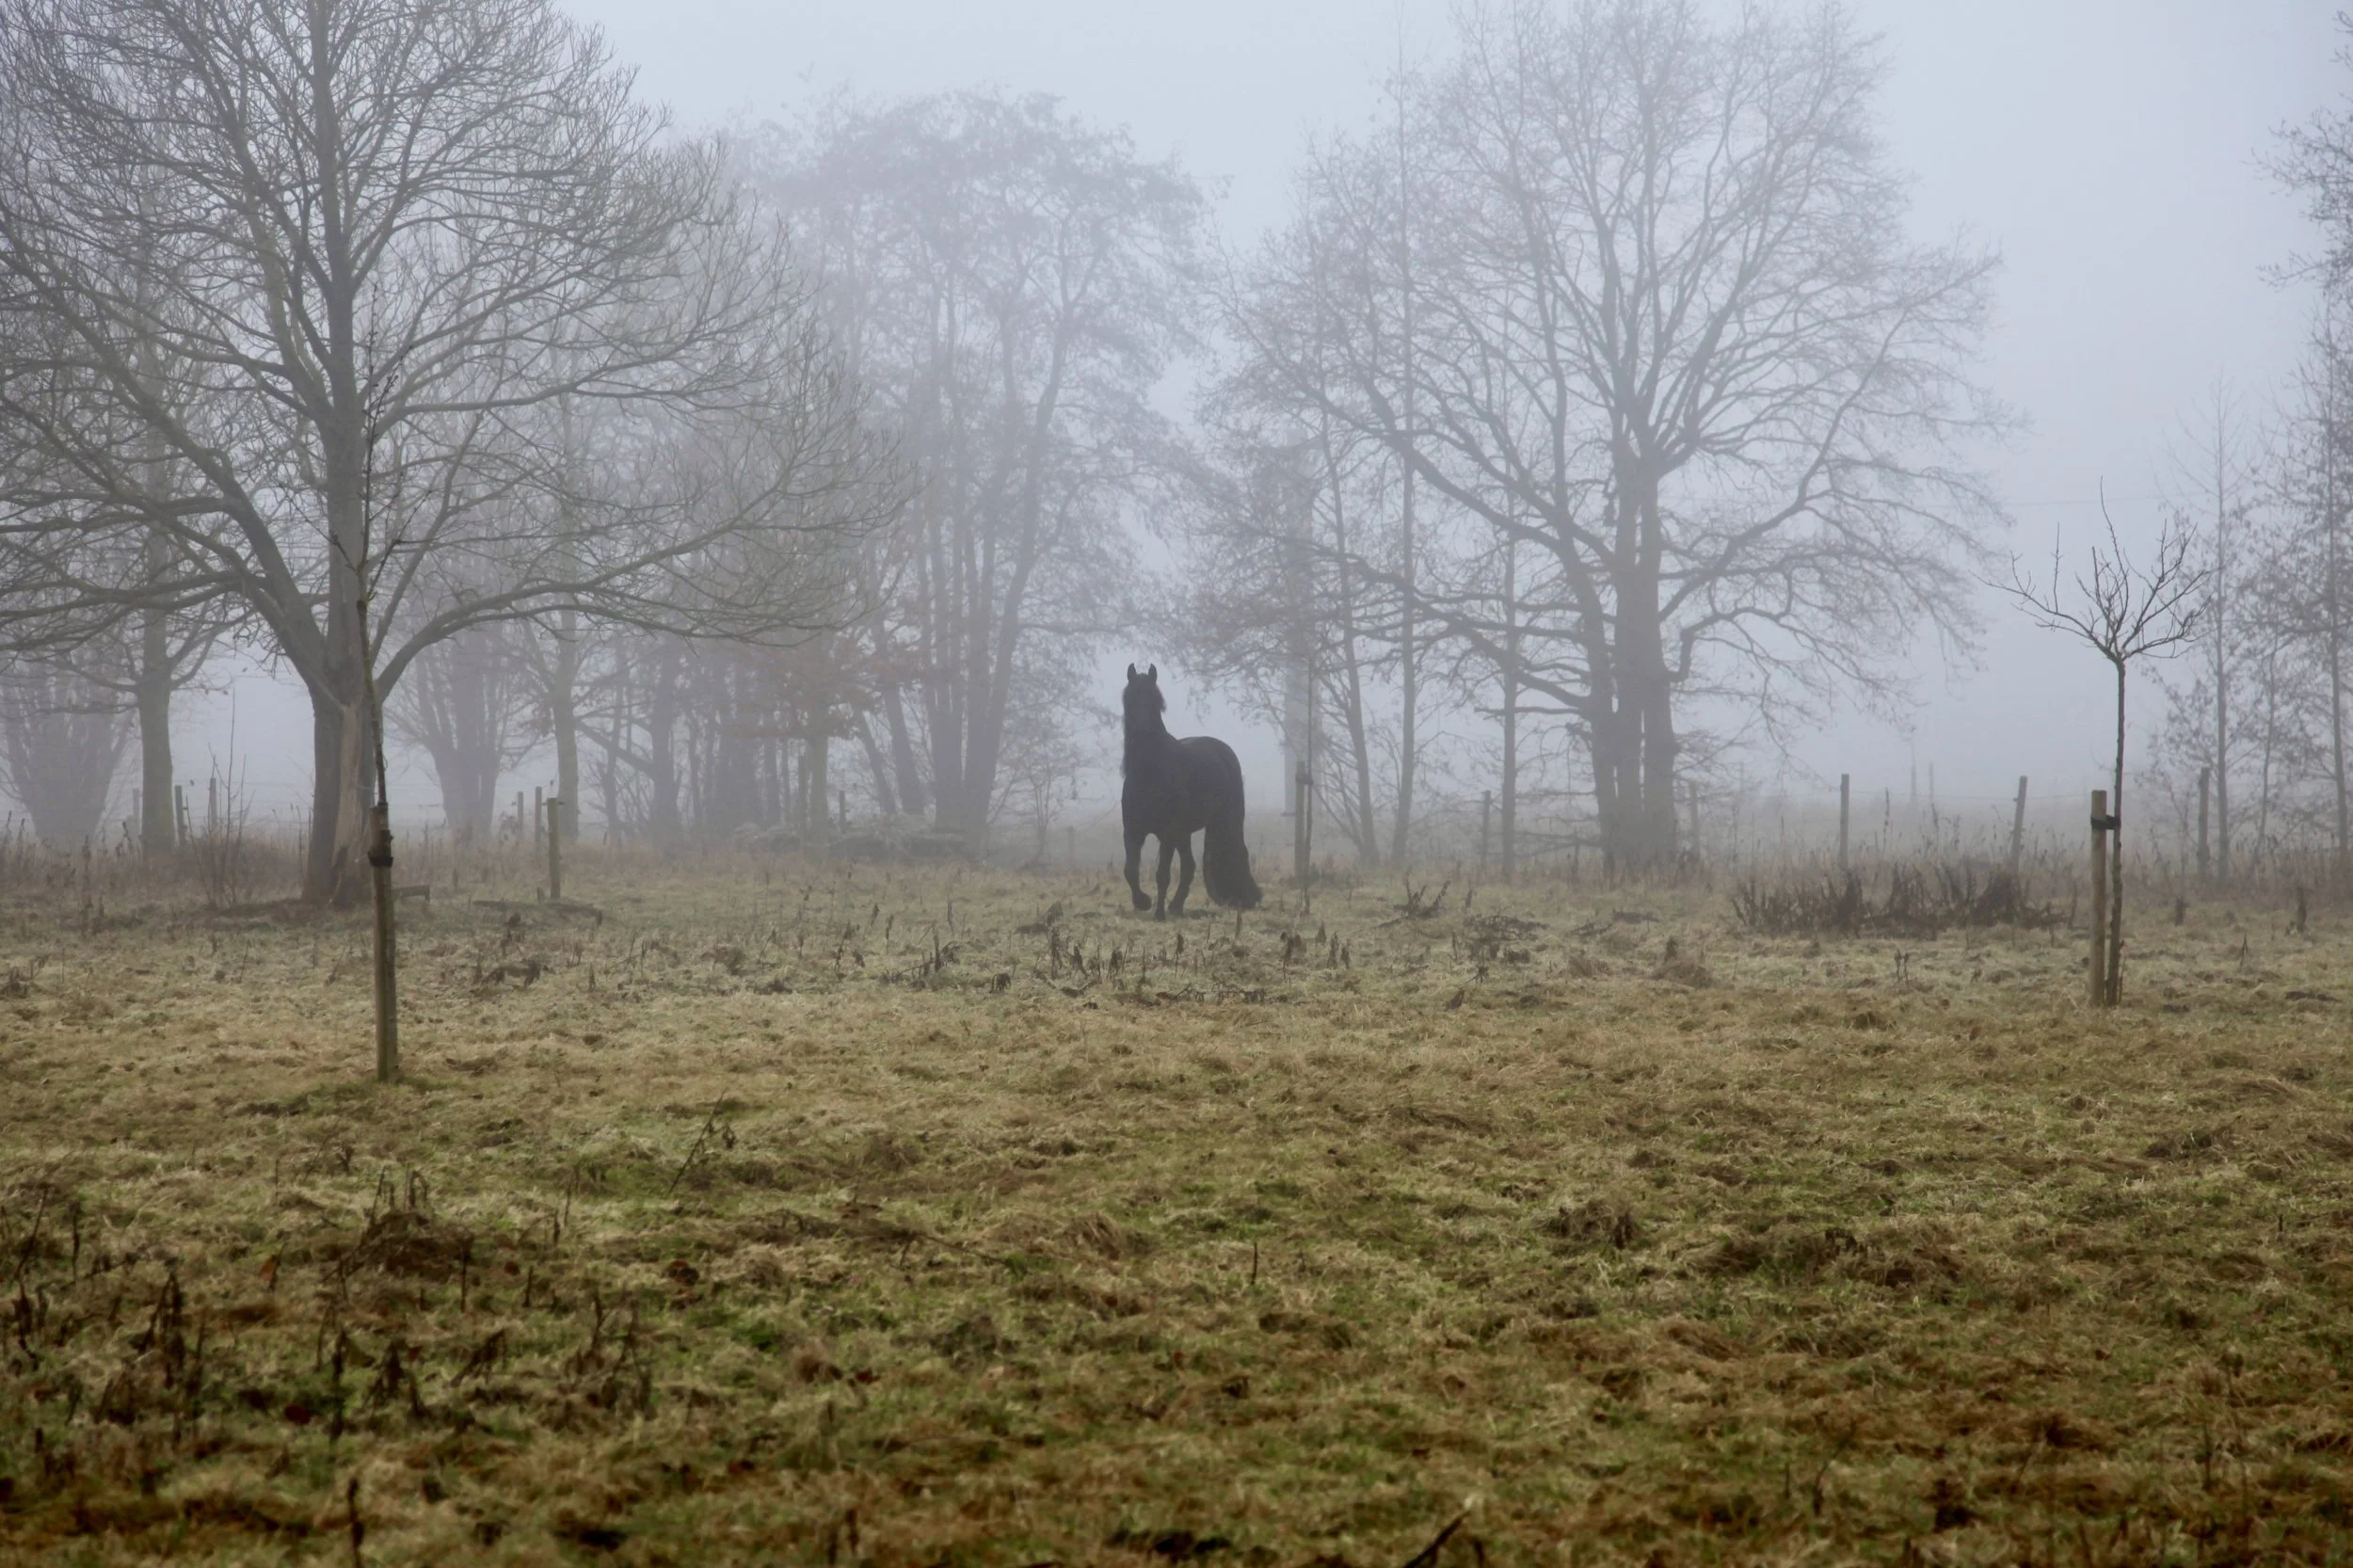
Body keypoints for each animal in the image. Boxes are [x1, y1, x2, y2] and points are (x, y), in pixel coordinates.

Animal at [1121, 664, 1261, 918]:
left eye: (1156, 701)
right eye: (1130, 698)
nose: (1142, 731)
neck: (1150, 773)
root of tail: (1223, 751)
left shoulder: (1167, 833)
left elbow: (1162, 874)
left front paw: (1158, 914)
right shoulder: (1133, 831)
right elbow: (1130, 870)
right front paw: (1143, 902)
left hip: (1220, 822)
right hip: (1184, 832)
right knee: (1189, 866)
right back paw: (1176, 905)